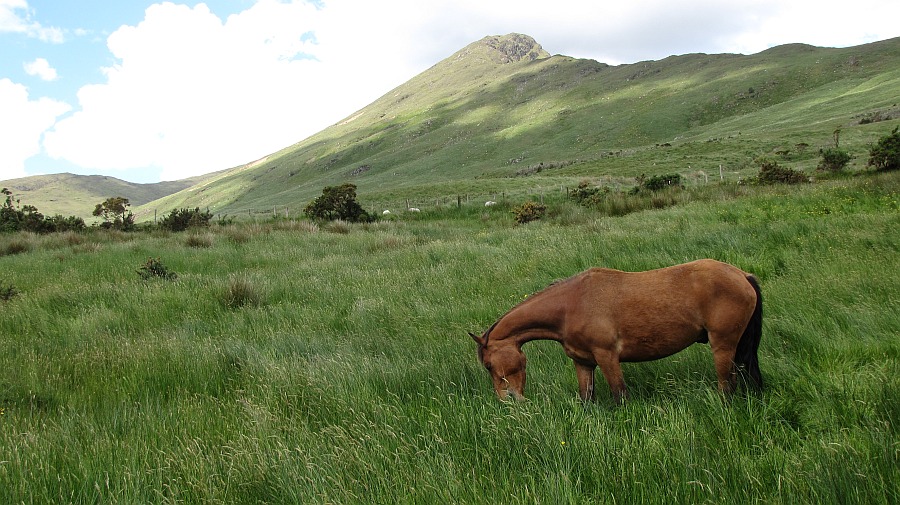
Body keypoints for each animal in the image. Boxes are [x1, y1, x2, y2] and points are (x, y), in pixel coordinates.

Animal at [468, 260, 764, 402]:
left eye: (488, 365)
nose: (508, 400)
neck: (571, 305)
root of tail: (742, 275)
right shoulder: (584, 363)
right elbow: (586, 398)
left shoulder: (607, 357)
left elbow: (620, 395)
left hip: (723, 346)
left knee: (727, 385)